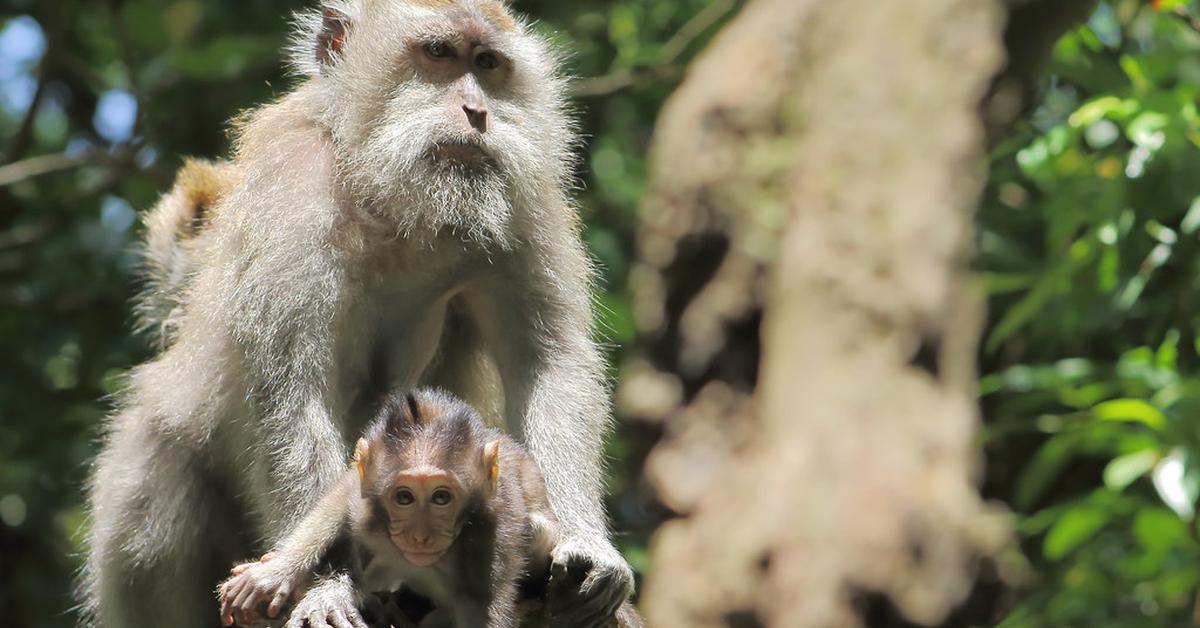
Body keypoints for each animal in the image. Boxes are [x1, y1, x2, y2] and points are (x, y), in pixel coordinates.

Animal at [220, 389, 561, 628]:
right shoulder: (367, 509)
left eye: (441, 497)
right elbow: (342, 497)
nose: (420, 537)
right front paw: (274, 573)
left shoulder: (490, 541)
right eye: (404, 497)